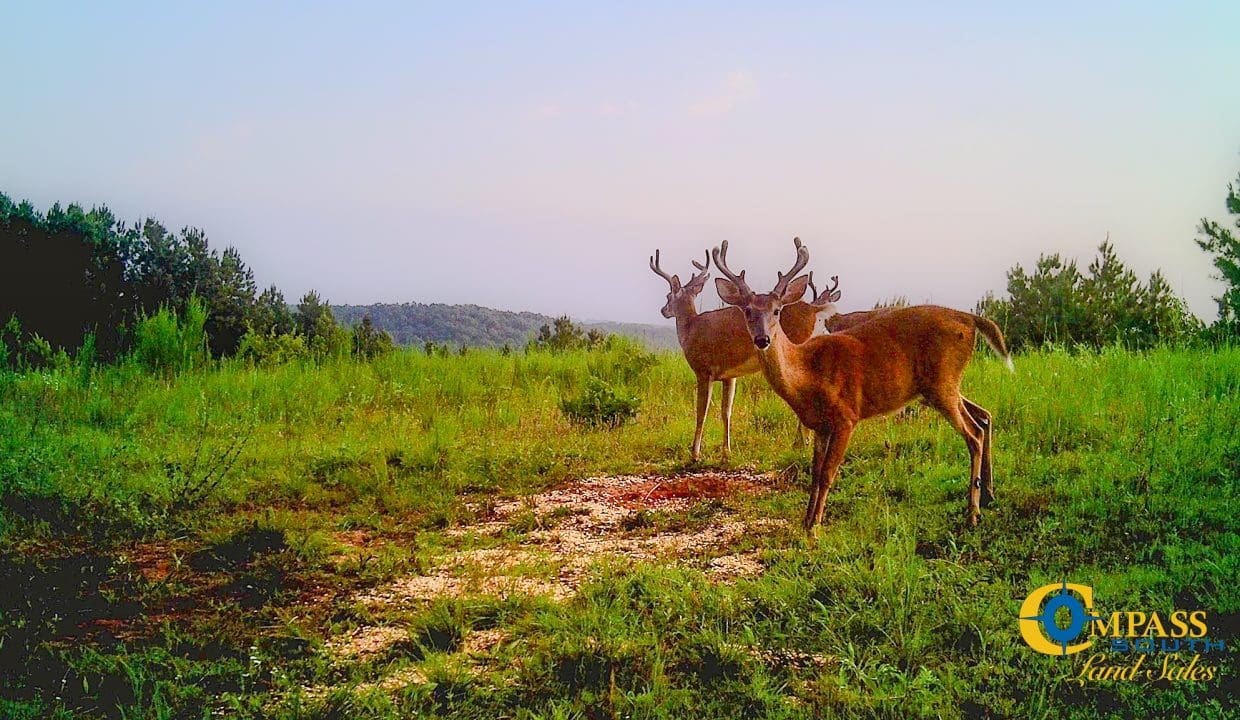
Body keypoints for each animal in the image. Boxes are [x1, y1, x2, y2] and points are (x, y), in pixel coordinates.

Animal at [649, 249, 843, 460]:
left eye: (668, 296)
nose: (663, 310)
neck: (690, 328)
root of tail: (816, 310)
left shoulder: (703, 370)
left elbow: (702, 411)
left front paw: (695, 454)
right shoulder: (729, 375)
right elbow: (726, 411)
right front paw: (726, 451)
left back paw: (800, 443)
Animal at [714, 235, 1011, 527]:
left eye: (777, 311)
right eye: (747, 311)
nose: (762, 339)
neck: (808, 374)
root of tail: (970, 318)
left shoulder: (847, 416)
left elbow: (828, 474)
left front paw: (816, 528)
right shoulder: (821, 425)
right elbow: (814, 472)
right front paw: (806, 522)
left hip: (942, 383)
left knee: (974, 434)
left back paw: (973, 513)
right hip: (940, 387)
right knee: (984, 417)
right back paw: (988, 496)